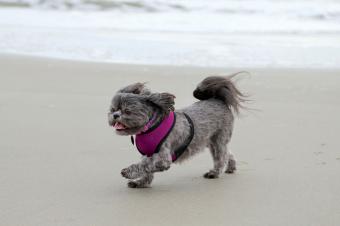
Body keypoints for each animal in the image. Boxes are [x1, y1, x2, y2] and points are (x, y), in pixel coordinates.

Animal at [107, 74, 246, 187]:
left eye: (127, 111)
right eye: (113, 109)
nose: (115, 115)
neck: (150, 127)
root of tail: (218, 99)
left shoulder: (163, 159)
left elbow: (145, 166)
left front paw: (129, 172)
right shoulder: (148, 154)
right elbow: (146, 169)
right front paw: (141, 182)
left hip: (218, 140)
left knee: (221, 157)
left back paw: (214, 173)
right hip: (212, 141)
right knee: (227, 153)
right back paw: (231, 167)